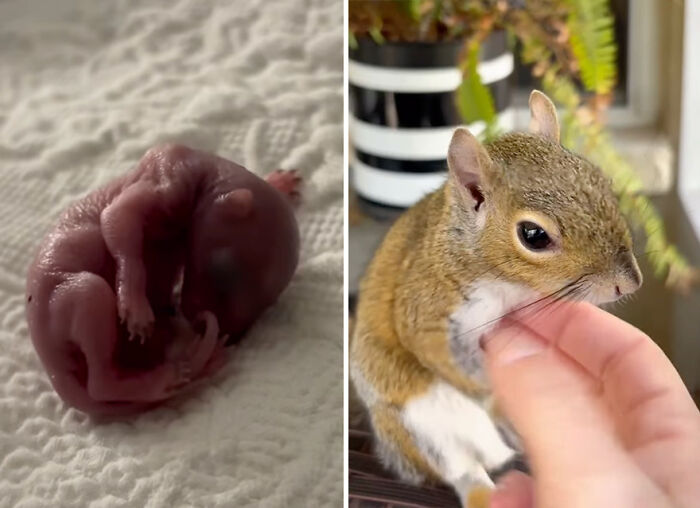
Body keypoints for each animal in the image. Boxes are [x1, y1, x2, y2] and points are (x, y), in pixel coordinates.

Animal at [26, 143, 300, 416]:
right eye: (224, 272)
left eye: (268, 303)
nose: (233, 336)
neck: (209, 168)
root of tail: (54, 368)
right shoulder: (167, 175)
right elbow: (118, 217)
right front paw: (135, 305)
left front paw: (281, 181)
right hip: (67, 297)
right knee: (98, 373)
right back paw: (168, 375)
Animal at [352, 89, 644, 506]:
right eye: (533, 235)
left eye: (601, 180)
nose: (630, 283)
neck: (506, 285)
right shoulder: (427, 314)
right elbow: (444, 361)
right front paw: (499, 402)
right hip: (417, 424)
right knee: (462, 469)